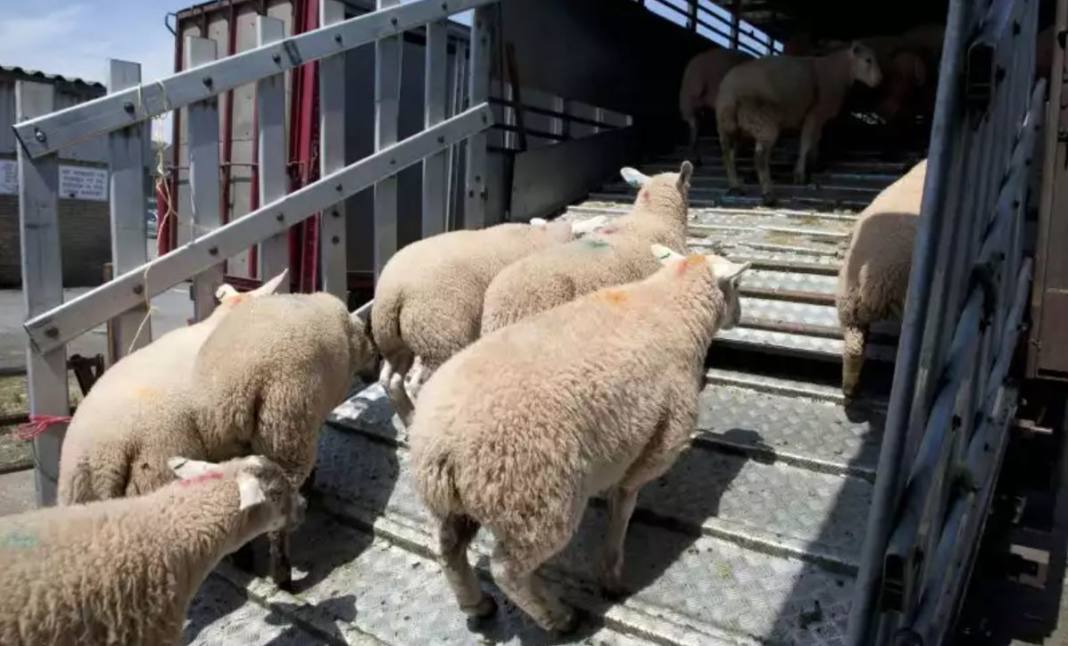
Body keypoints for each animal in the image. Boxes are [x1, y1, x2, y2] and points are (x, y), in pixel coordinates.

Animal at [371, 216, 608, 426]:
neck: (546, 237)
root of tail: (392, 293)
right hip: (440, 338)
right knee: (418, 386)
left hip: (397, 342)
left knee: (390, 380)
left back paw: (408, 421)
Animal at [410, 244, 750, 633]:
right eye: (738, 285)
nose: (740, 317)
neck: (673, 309)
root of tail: (438, 445)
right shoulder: (658, 442)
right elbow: (624, 502)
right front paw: (611, 572)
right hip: (534, 499)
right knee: (507, 569)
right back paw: (558, 618)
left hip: (458, 502)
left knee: (448, 548)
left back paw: (477, 605)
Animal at [715, 42, 883, 203]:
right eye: (868, 60)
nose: (879, 80)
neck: (838, 72)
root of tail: (730, 92)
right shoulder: (814, 114)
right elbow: (806, 143)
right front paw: (799, 175)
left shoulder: (818, 119)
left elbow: (815, 141)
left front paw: (813, 165)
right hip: (762, 120)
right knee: (760, 157)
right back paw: (768, 194)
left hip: (727, 126)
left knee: (727, 155)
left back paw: (735, 186)